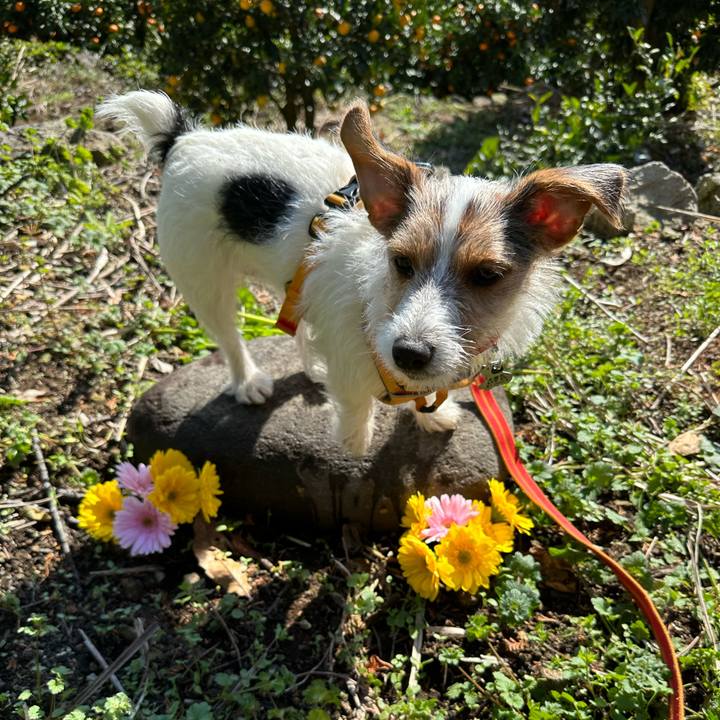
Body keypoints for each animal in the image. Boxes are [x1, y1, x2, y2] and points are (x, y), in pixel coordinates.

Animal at [97, 91, 625, 455]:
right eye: (402, 262)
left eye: (487, 274)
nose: (408, 353)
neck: (379, 302)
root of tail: (184, 137)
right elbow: (354, 398)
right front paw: (355, 440)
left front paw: (432, 414)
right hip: (204, 280)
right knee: (229, 336)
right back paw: (249, 381)